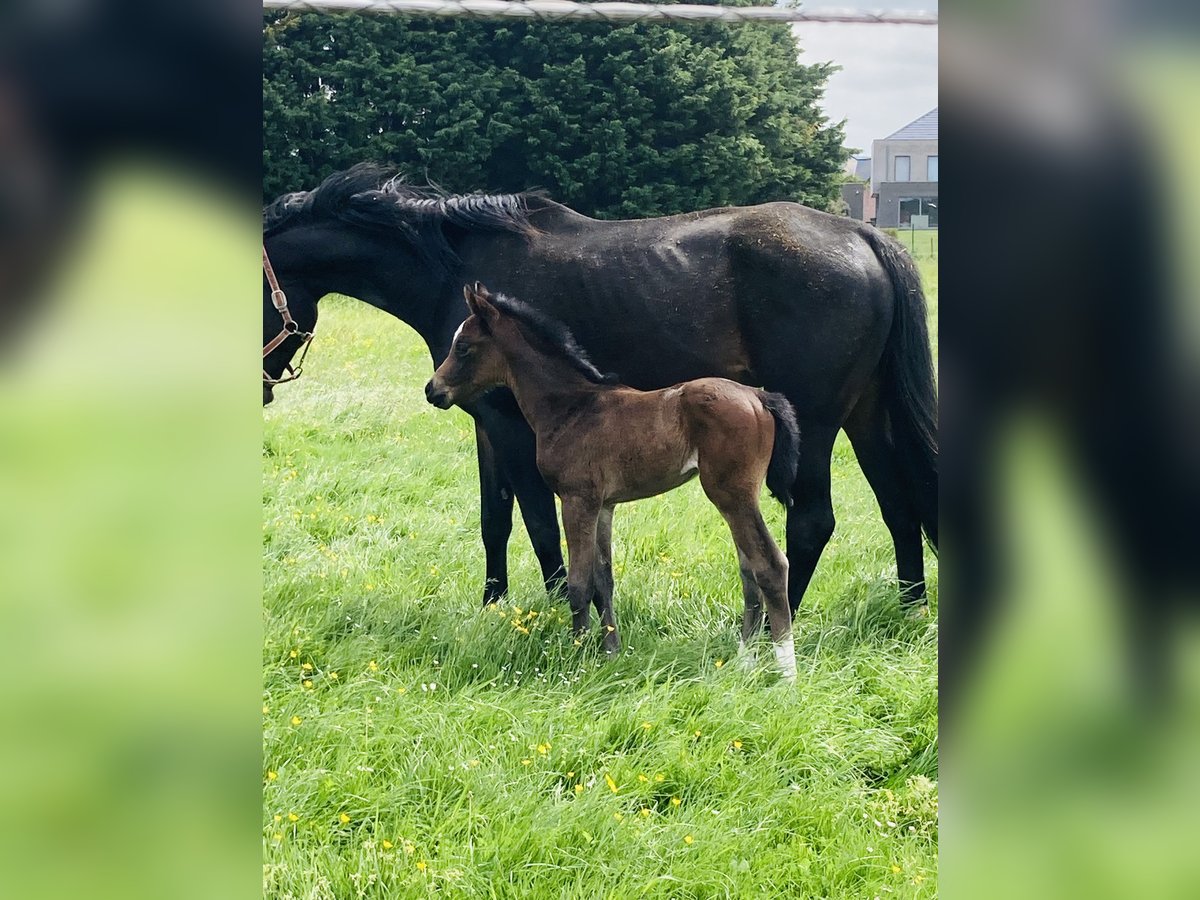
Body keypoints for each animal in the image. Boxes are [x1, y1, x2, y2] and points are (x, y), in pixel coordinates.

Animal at [263, 163, 937, 618]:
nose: (263, 389)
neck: (454, 270)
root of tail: (864, 237)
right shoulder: (484, 422)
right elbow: (493, 520)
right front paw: (491, 607)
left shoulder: (512, 426)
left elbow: (538, 520)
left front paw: (555, 606)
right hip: (866, 417)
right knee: (899, 505)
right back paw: (909, 610)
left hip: (816, 422)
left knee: (813, 521)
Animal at [426, 283, 802, 675]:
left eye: (463, 346)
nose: (432, 390)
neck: (571, 408)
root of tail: (758, 396)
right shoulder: (604, 505)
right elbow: (603, 580)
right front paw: (610, 651)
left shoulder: (577, 500)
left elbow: (579, 583)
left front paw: (576, 655)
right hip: (737, 499)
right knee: (749, 570)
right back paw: (743, 661)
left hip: (732, 495)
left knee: (770, 565)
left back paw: (786, 669)